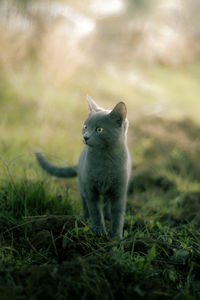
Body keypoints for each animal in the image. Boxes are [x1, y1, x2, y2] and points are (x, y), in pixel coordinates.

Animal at [35, 96, 130, 239]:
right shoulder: (90, 188)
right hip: (82, 186)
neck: (105, 160)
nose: (85, 137)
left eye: (99, 129)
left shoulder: (119, 191)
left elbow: (118, 215)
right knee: (85, 204)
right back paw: (86, 219)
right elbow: (95, 211)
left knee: (107, 204)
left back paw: (107, 216)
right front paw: (98, 230)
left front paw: (116, 237)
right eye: (85, 126)